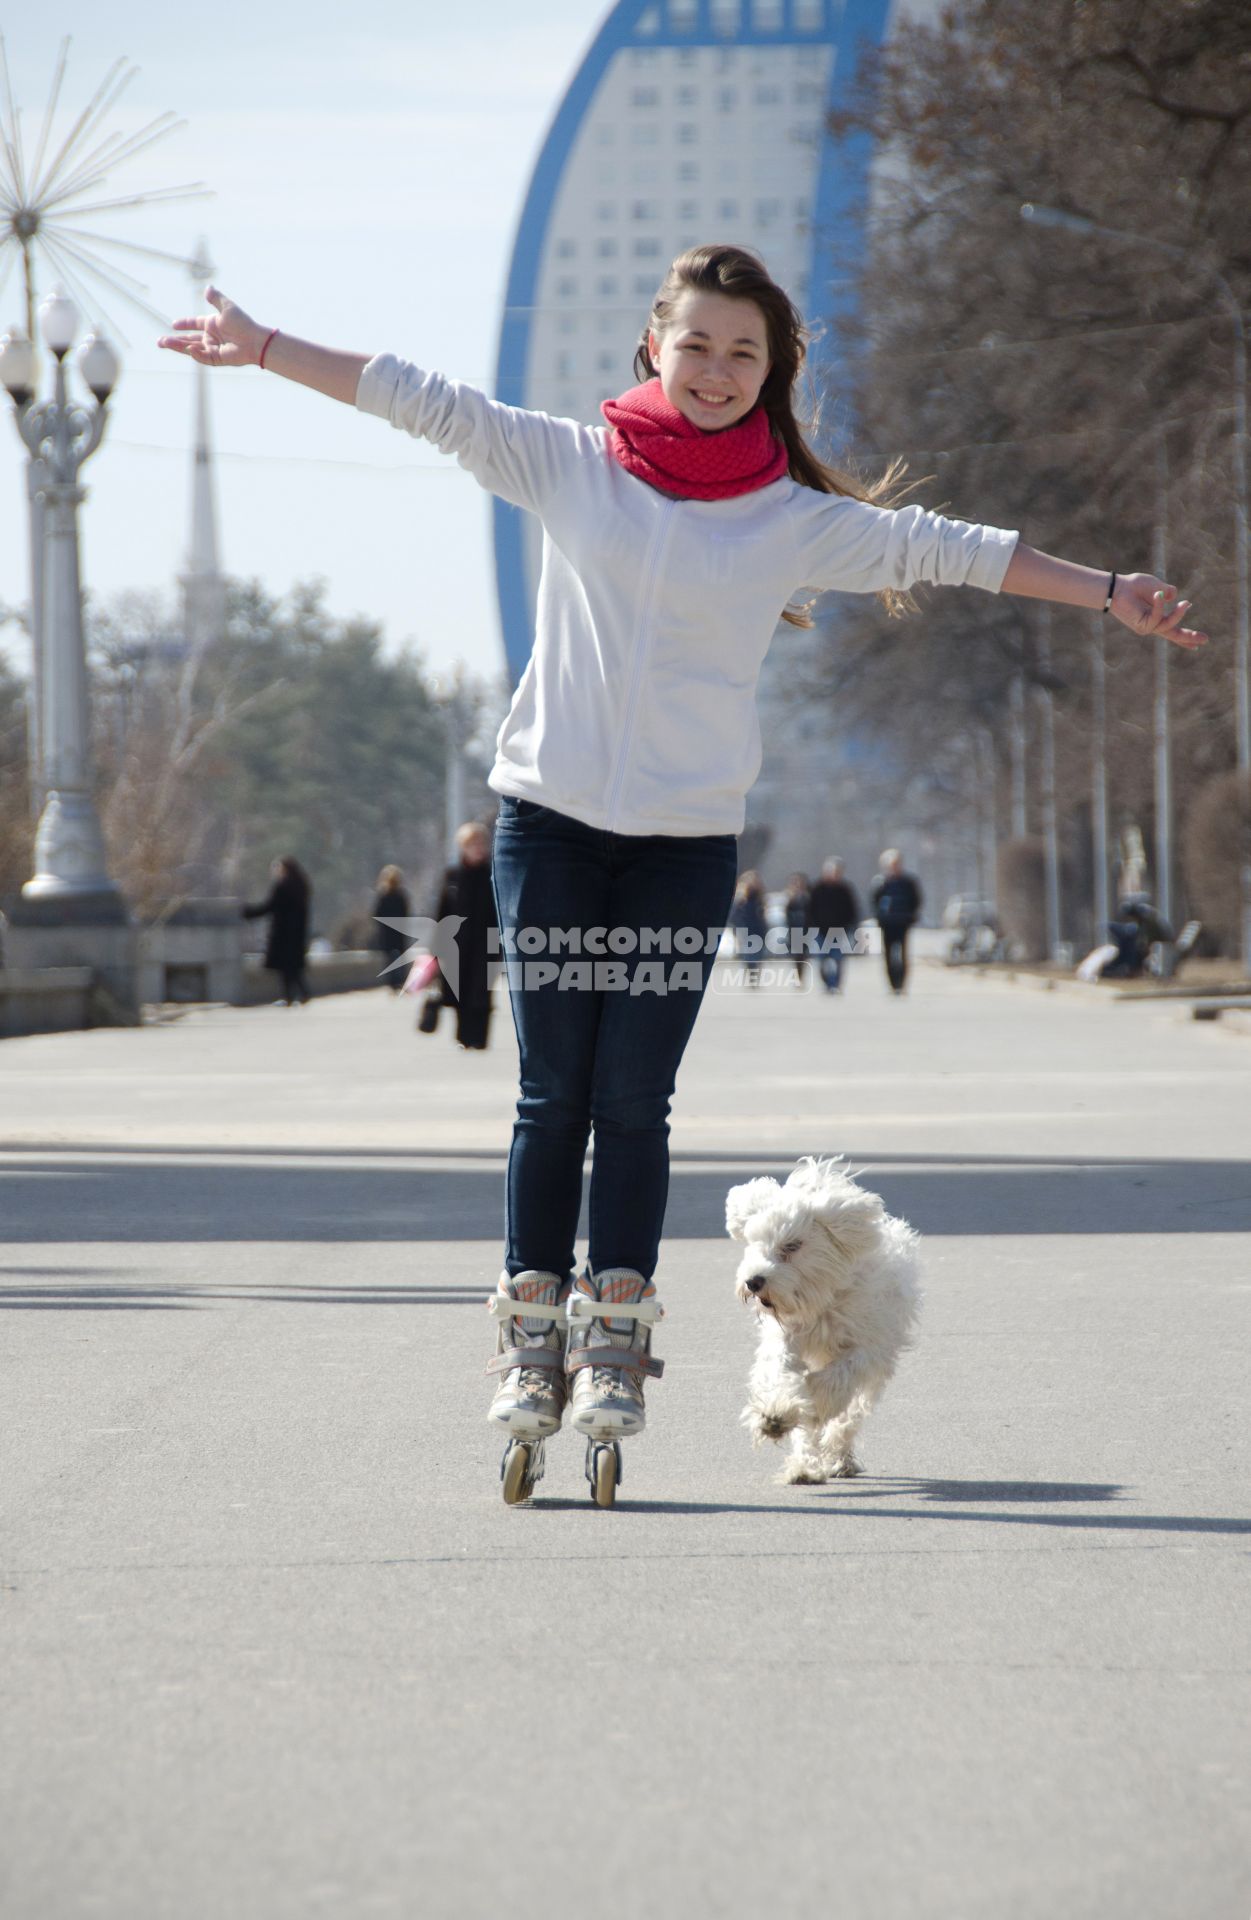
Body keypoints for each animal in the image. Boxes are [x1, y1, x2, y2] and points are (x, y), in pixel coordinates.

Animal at [721, 1152, 917, 1482]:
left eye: (792, 1245)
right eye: (755, 1243)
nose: (753, 1281)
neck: (822, 1300)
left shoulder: (866, 1349)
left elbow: (832, 1382)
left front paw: (806, 1402)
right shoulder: (785, 1337)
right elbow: (780, 1371)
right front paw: (776, 1411)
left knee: (850, 1415)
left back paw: (838, 1456)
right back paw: (804, 1464)